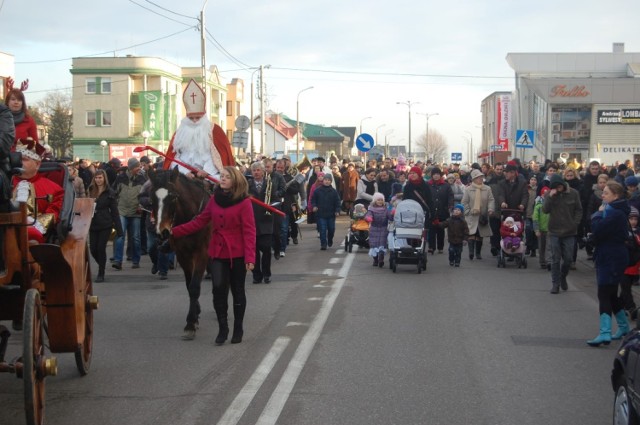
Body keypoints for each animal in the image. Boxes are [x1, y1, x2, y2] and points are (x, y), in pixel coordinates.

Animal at [148, 167, 210, 340]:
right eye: (151, 198)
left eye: (173, 196)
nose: (162, 232)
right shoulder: (183, 255)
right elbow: (189, 286)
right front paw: (193, 318)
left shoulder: (202, 253)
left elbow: (194, 286)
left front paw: (190, 324)